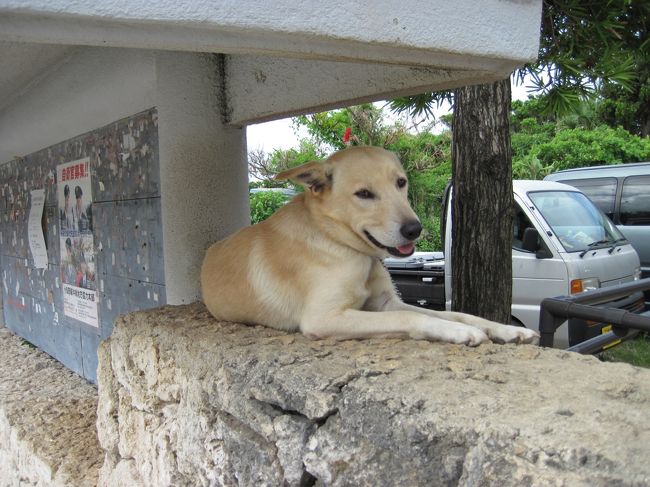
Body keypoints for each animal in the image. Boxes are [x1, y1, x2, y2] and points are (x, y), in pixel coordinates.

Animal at [200, 146, 540, 346]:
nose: (414, 229)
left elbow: (458, 313)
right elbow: (412, 318)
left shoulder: (386, 303)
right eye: (363, 194)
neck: (338, 242)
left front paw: (505, 329)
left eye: (401, 182)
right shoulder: (325, 317)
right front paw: (459, 333)